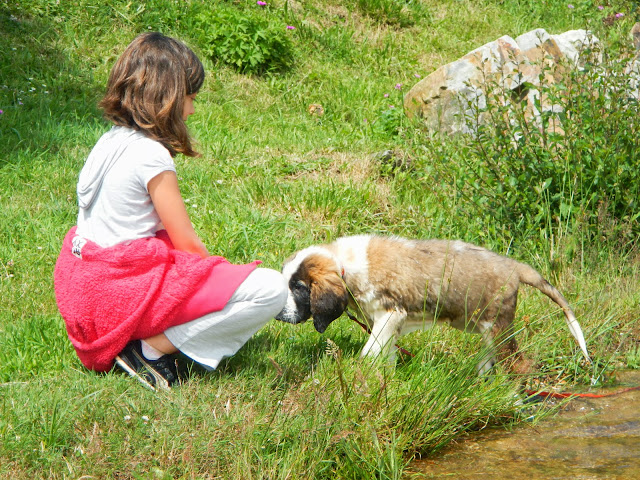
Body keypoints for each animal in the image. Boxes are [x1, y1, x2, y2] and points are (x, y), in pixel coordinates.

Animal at [276, 234, 592, 374]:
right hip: (482, 328)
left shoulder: (390, 314)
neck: (344, 264)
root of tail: (514, 267)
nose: (279, 313)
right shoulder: (387, 323)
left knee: (518, 363)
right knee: (489, 359)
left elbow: (369, 353)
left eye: (299, 288)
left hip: (497, 326)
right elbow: (385, 354)